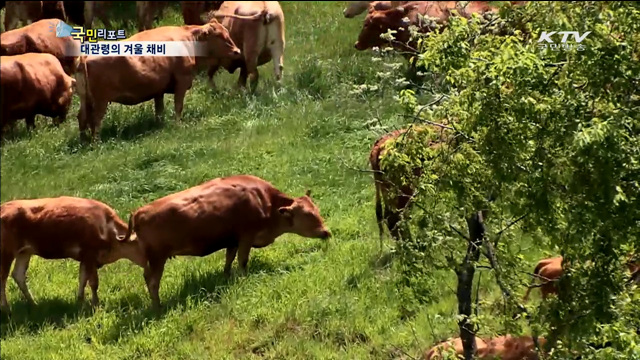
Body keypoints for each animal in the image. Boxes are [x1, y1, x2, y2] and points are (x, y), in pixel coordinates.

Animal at [0, 195, 146, 314]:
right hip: (7, 253)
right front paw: (96, 304)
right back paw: (7, 309)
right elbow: (93, 282)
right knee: (3, 278)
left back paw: (33, 303)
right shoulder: (90, 255)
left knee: (18, 275)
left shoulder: (85, 259)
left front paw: (80, 301)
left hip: (24, 252)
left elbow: (82, 279)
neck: (107, 227)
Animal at [75, 20, 240, 142]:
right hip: (101, 101)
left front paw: (160, 125)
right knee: (95, 120)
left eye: (227, 33)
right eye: (220, 36)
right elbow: (178, 106)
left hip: (85, 99)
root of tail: (85, 55)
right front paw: (178, 125)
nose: (237, 51)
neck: (189, 40)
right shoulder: (181, 82)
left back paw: (83, 141)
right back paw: (96, 143)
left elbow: (159, 110)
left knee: (82, 117)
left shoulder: (158, 89)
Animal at [125, 174, 336, 306]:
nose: (326, 232)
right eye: (308, 215)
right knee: (153, 282)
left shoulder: (232, 240)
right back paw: (158, 306)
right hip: (157, 260)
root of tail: (139, 212)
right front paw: (243, 278)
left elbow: (229, 259)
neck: (265, 201)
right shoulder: (246, 237)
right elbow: (242, 261)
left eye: (316, 209)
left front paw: (226, 276)